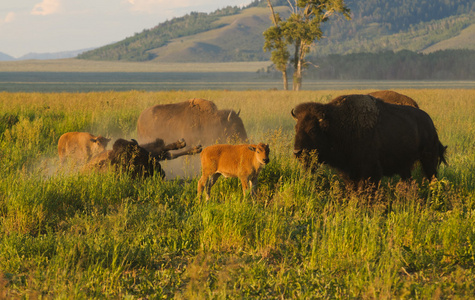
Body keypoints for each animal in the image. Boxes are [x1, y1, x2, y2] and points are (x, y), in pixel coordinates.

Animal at [292, 94, 448, 188]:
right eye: (296, 127)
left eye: (313, 129)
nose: (297, 152)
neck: (337, 124)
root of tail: (430, 123)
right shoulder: (350, 172)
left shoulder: (370, 171)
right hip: (405, 165)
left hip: (428, 159)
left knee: (432, 176)